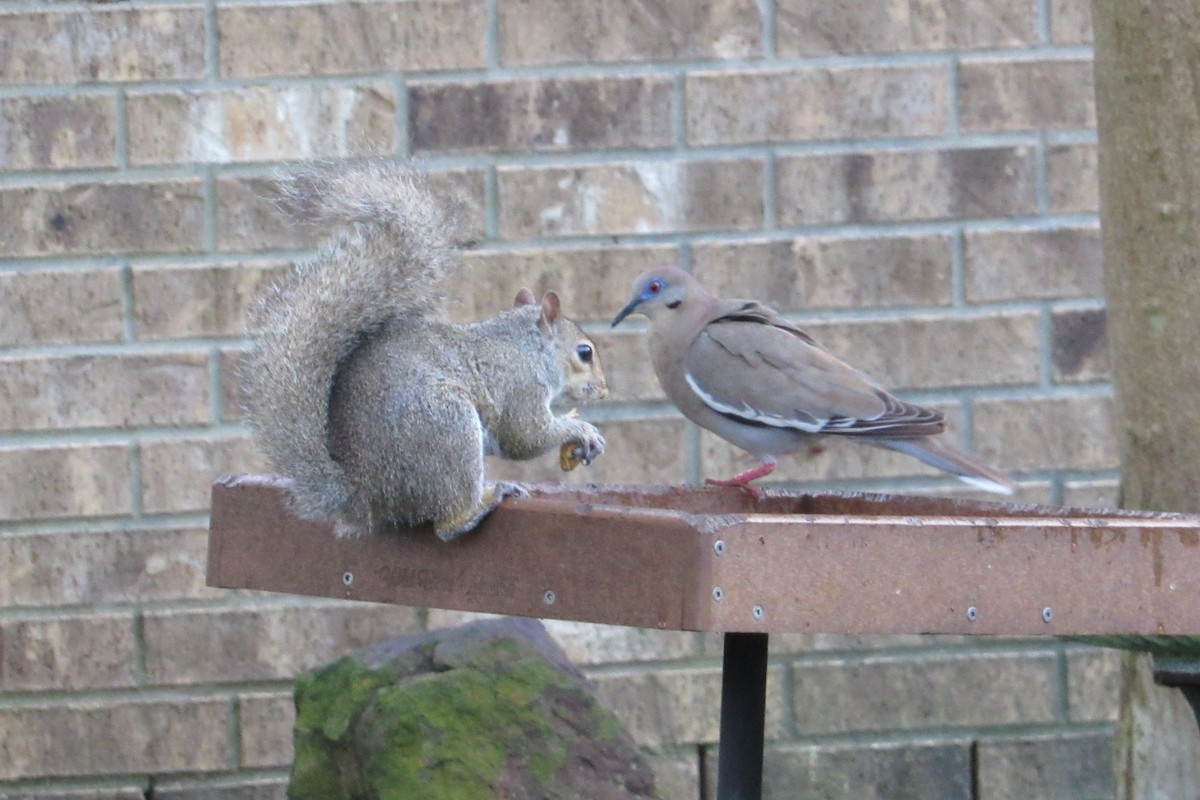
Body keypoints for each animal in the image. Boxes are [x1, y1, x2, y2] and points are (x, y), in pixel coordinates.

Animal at [241, 159, 609, 542]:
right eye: (585, 353)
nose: (604, 390)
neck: (528, 347)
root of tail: (364, 497)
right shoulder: (521, 388)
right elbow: (527, 437)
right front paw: (579, 429)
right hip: (446, 425)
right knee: (446, 526)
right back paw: (483, 502)